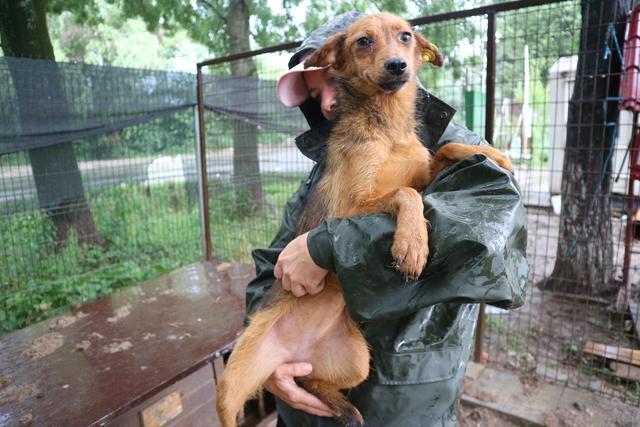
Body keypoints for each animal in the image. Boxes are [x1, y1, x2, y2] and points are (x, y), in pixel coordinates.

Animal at [218, 13, 512, 427]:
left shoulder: (422, 174)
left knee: (311, 382)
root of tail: (292, 353)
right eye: (362, 42)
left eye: (405, 37)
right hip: (230, 387)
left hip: (358, 362)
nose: (397, 66)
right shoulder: (351, 206)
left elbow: (444, 151)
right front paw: (412, 245)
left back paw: (342, 406)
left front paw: (493, 155)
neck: (387, 126)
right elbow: (405, 194)